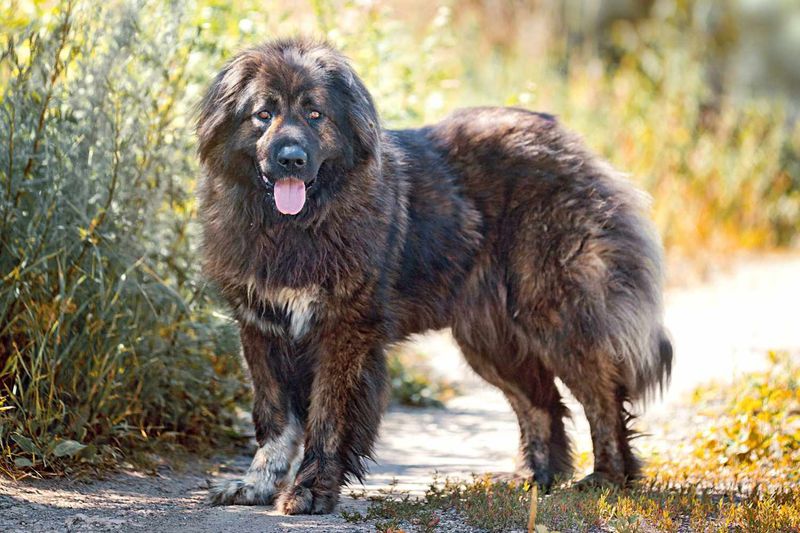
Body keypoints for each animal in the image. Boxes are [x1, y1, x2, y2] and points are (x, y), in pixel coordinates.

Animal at [198, 36, 668, 512]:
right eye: (263, 114)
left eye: (315, 114)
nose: (291, 159)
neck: (294, 227)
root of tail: (570, 142)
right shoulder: (261, 328)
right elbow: (273, 417)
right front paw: (255, 485)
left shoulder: (343, 330)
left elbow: (327, 418)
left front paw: (311, 490)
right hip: (490, 339)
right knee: (542, 402)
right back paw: (535, 479)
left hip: (554, 313)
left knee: (601, 393)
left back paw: (607, 477)